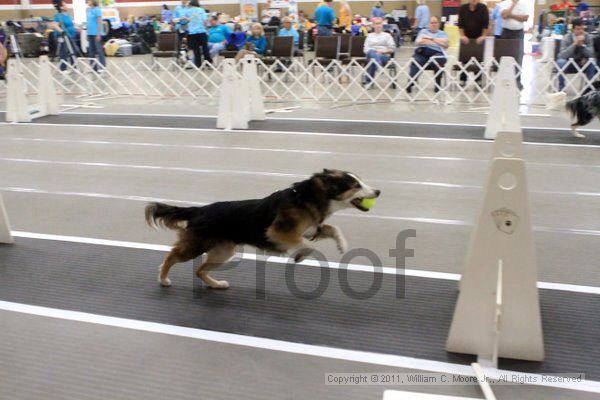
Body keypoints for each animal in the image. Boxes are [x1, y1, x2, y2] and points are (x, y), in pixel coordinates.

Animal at [145, 170, 380, 290]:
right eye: (356, 185)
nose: (378, 191)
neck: (307, 198)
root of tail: (200, 210)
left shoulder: (310, 229)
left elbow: (332, 228)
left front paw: (342, 245)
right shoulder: (279, 232)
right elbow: (306, 245)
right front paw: (300, 255)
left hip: (223, 251)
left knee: (200, 270)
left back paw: (217, 284)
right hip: (197, 245)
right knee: (171, 257)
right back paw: (163, 278)